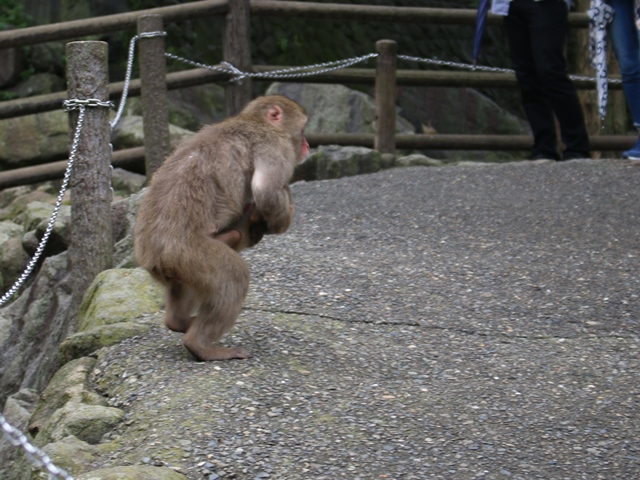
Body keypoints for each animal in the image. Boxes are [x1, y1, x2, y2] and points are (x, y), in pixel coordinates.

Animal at [134, 95, 308, 360]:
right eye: (303, 129)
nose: (307, 146)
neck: (253, 120)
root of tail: (153, 256)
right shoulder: (276, 146)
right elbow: (266, 191)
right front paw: (280, 220)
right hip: (189, 254)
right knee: (234, 277)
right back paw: (200, 346)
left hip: (177, 265)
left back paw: (180, 321)